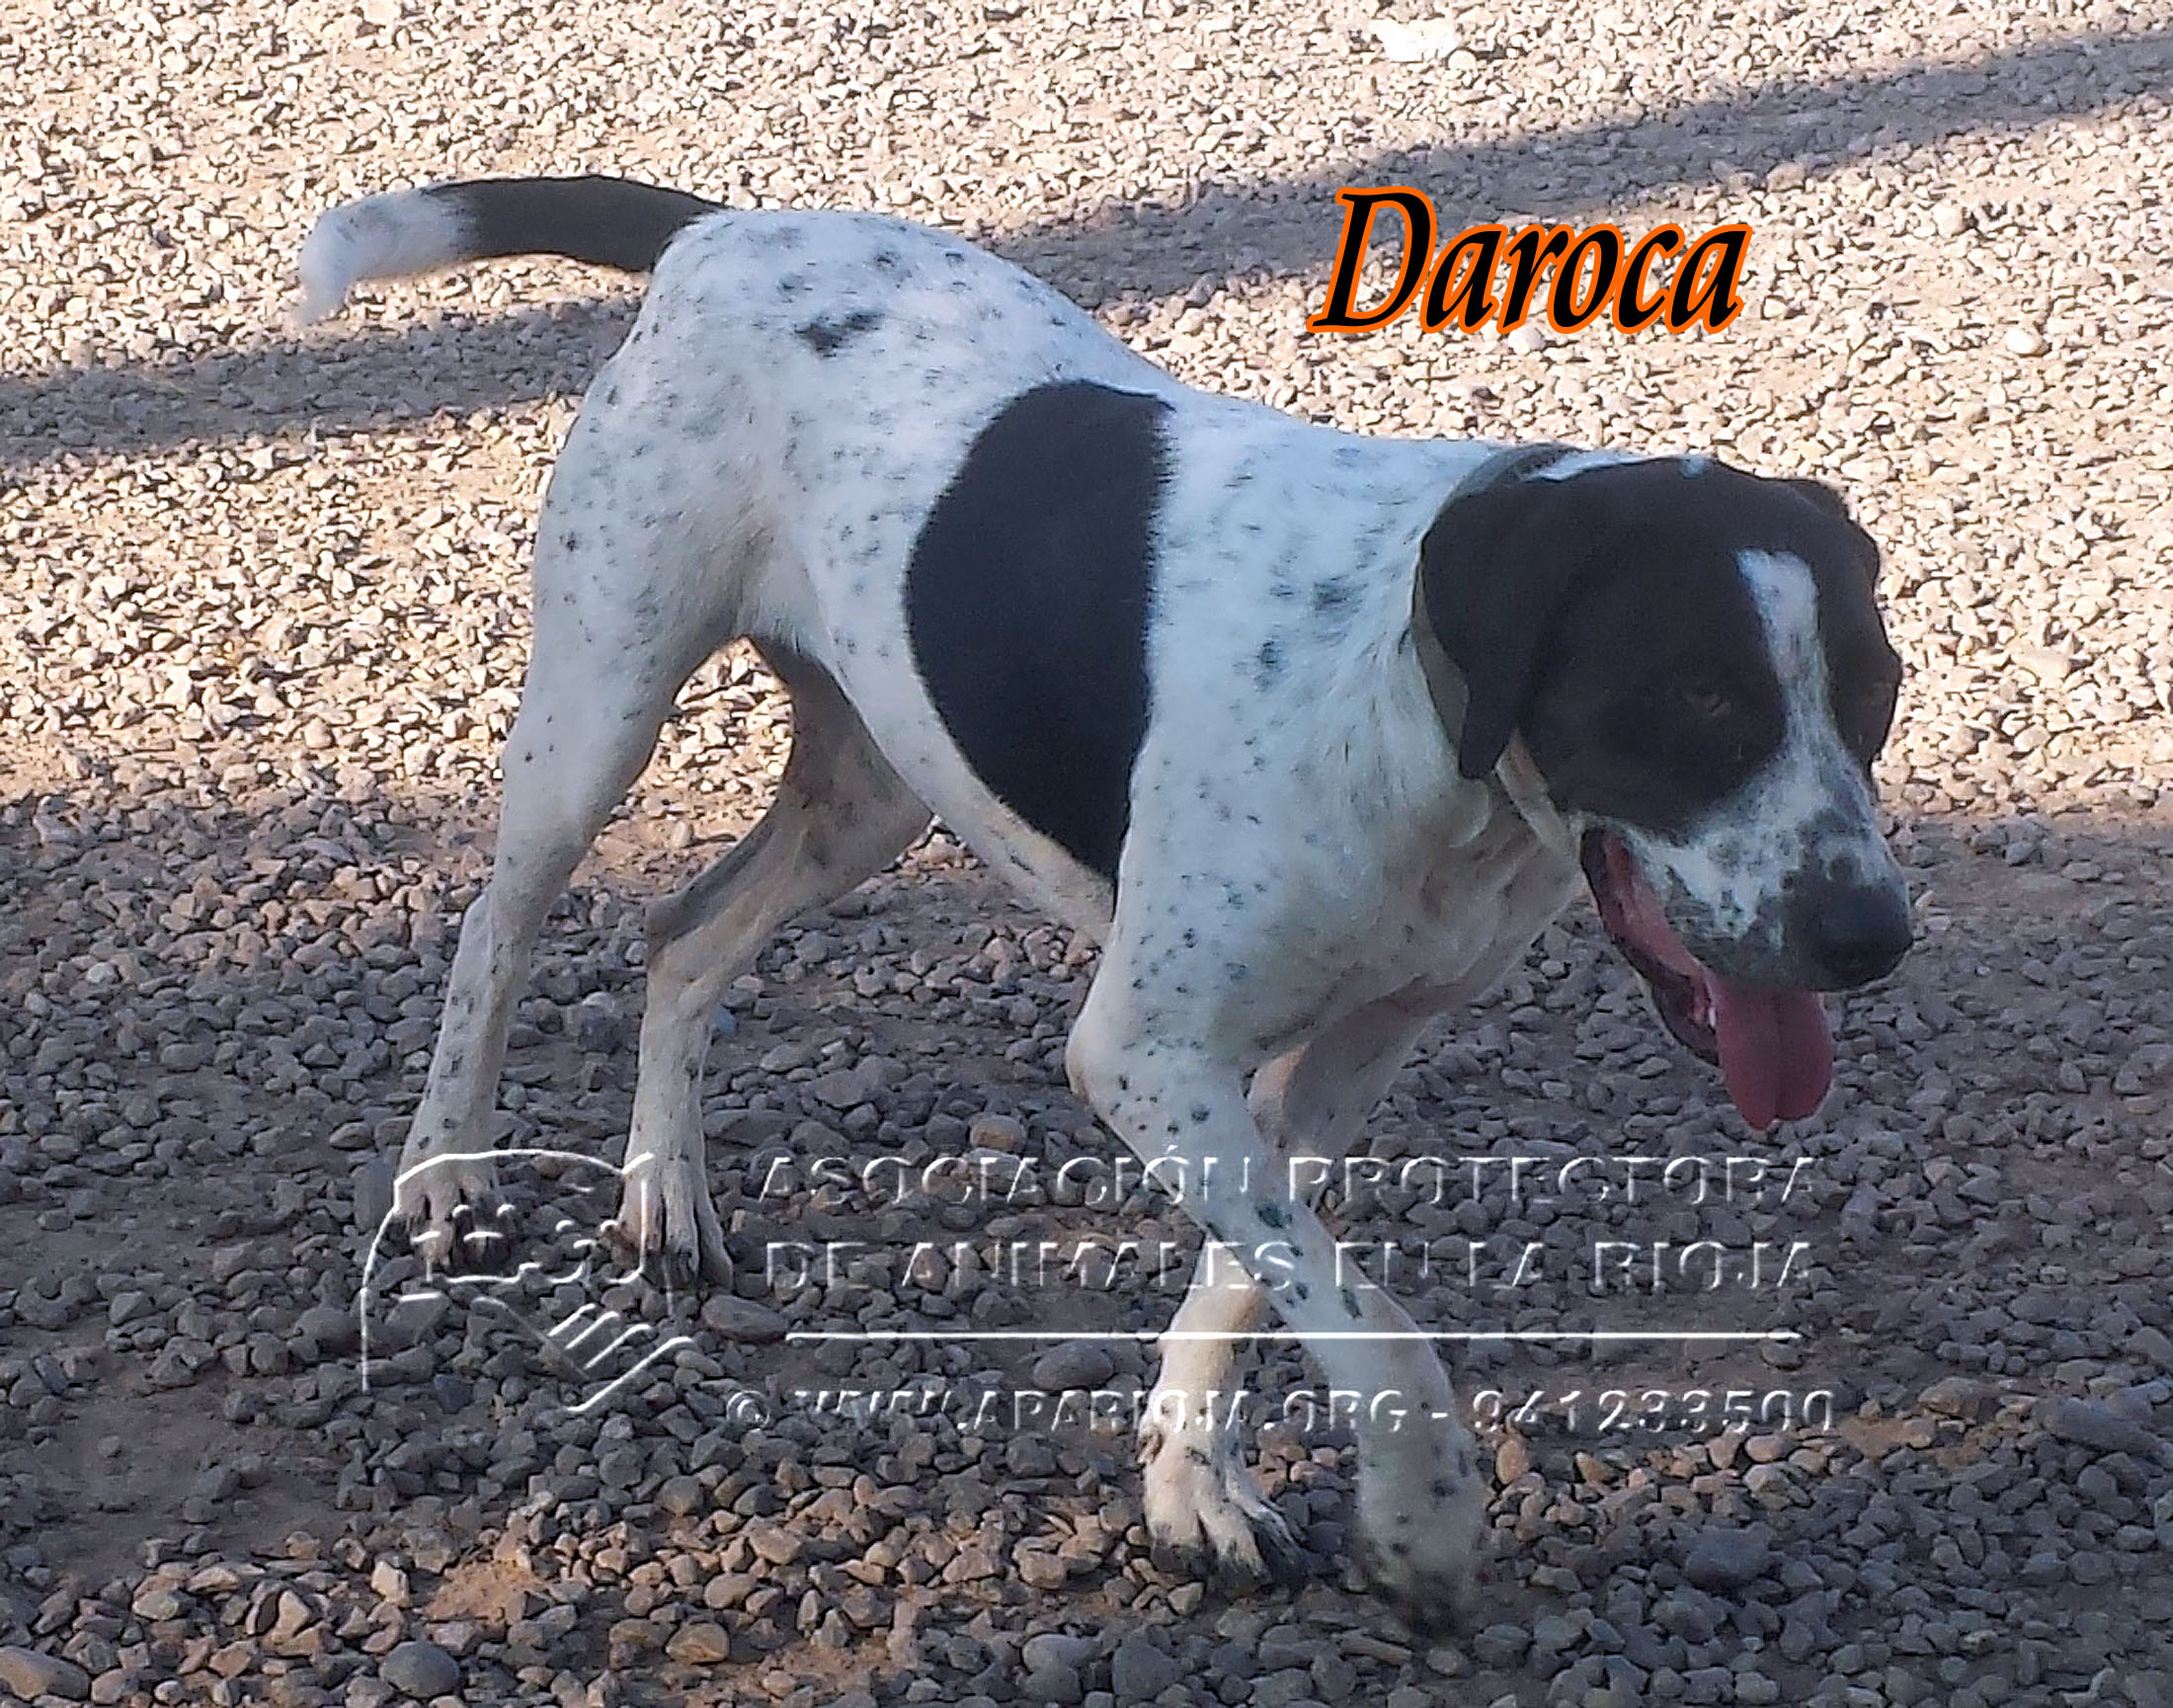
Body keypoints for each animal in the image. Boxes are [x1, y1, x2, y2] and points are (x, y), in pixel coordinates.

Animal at [297, 176, 1912, 1627]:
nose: (1872, 939)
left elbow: (1261, 1283)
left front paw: (1191, 1486)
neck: (1406, 711)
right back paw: (442, 1176)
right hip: (598, 716)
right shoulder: (1140, 1051)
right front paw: (1423, 1523)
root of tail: (722, 228)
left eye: (1877, 690)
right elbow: (1377, 1325)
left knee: (682, 940)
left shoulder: (1338, 1058)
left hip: (875, 784)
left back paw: (665, 1199)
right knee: (497, 934)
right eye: (1697, 698)